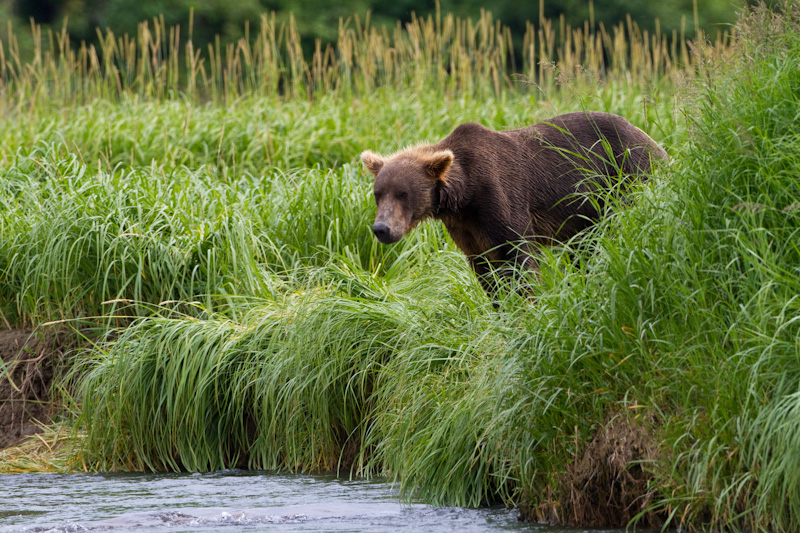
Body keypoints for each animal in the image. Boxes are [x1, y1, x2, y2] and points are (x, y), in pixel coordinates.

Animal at [362, 111, 668, 296]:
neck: (463, 196)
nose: (382, 229)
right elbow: (487, 274)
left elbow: (520, 261)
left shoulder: (501, 199)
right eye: (378, 193)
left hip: (626, 176)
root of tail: (656, 143)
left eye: (403, 193)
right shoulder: (467, 230)